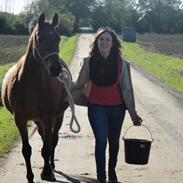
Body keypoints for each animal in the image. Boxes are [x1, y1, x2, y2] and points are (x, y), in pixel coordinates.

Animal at [0, 12, 69, 183]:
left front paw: (47, 172)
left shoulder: (48, 116)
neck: (30, 81)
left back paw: (51, 165)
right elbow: (27, 149)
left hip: (58, 116)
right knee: (45, 137)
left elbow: (47, 146)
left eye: (58, 38)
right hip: (38, 120)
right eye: (40, 38)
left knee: (53, 139)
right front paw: (30, 176)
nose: (56, 69)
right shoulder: (20, 119)